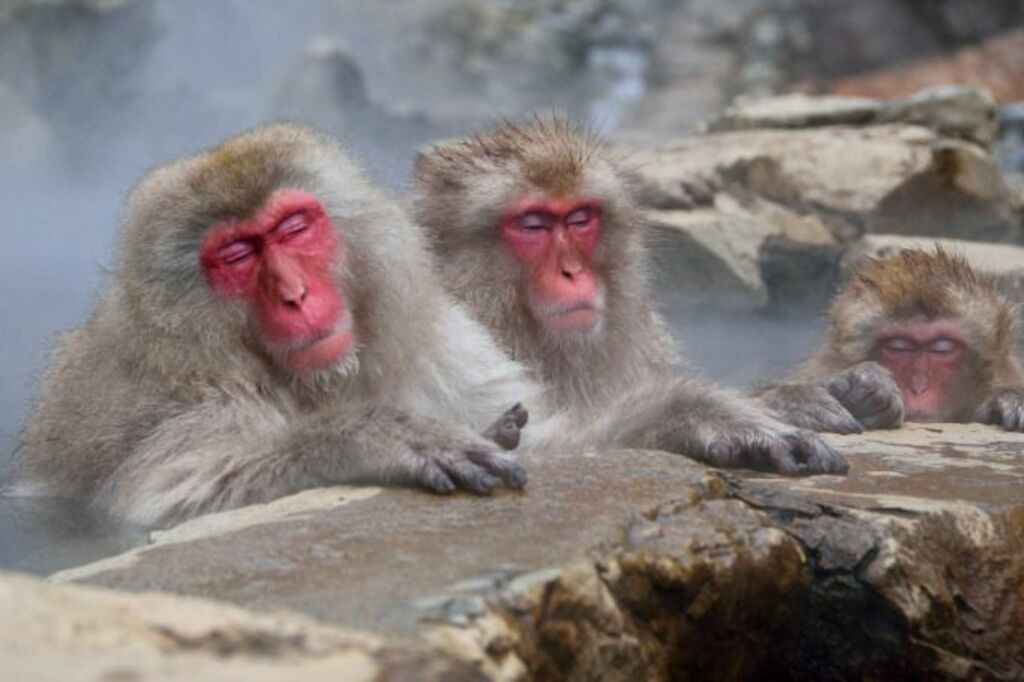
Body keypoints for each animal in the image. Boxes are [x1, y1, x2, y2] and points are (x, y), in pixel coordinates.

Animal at [12, 123, 544, 528]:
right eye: (237, 255)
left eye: (293, 228)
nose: (294, 294)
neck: (323, 384)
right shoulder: (188, 400)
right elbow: (173, 491)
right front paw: (372, 438)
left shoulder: (446, 346)